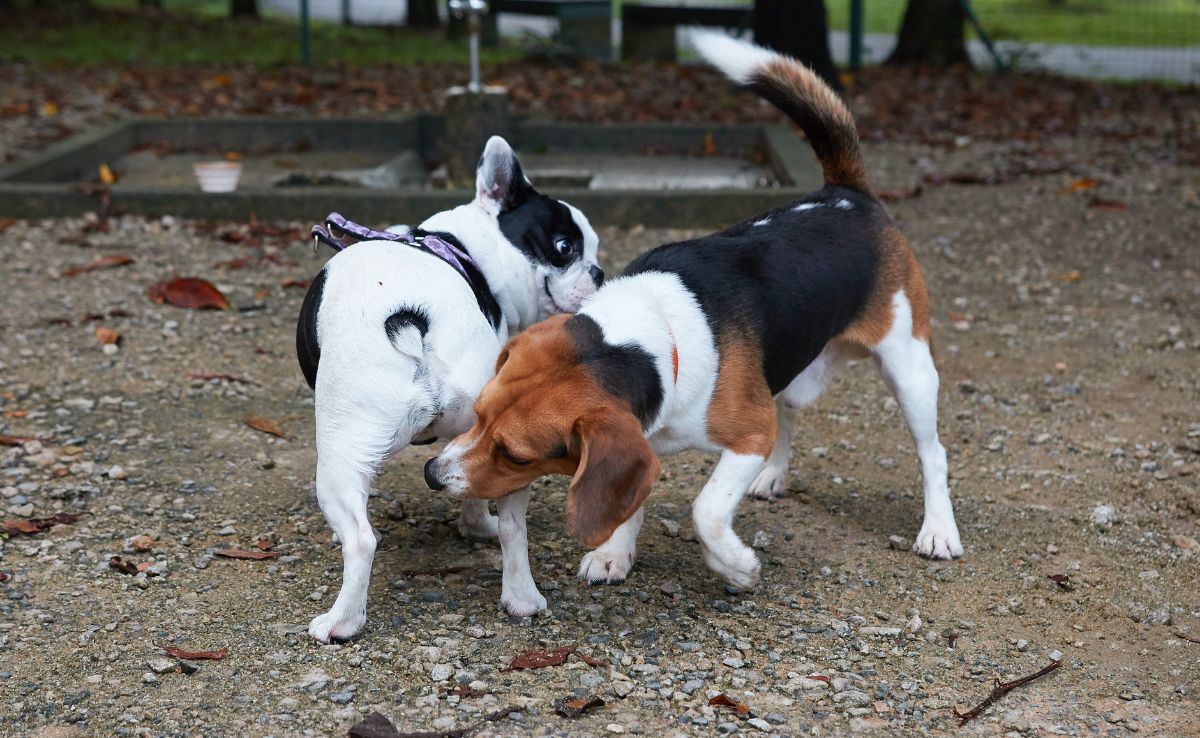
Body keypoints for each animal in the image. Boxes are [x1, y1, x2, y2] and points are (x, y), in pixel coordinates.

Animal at [296, 137, 604, 643]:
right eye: (565, 247)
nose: (598, 272)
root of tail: (413, 317)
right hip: (499, 437)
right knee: (513, 527)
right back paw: (521, 596)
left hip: (340, 447)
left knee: (361, 539)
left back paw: (340, 622)